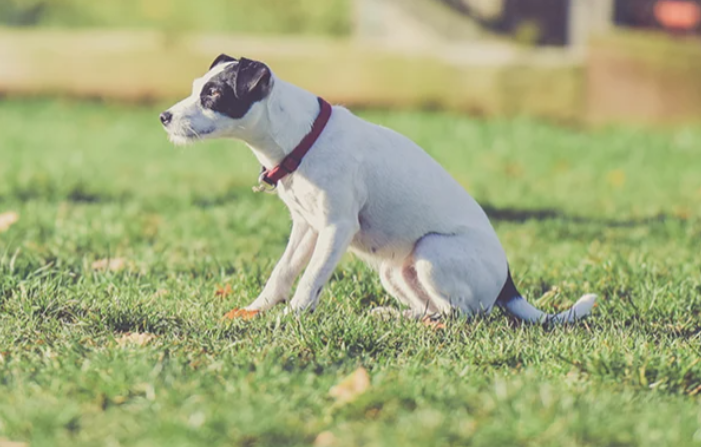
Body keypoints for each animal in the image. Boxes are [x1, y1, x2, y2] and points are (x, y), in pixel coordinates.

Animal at [160, 54, 596, 324]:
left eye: (213, 94)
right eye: (196, 86)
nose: (164, 117)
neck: (303, 138)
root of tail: (507, 284)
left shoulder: (335, 227)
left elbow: (310, 279)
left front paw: (292, 318)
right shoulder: (307, 226)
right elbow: (282, 272)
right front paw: (257, 310)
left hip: (431, 252)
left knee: (462, 314)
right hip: (395, 270)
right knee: (434, 308)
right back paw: (398, 316)